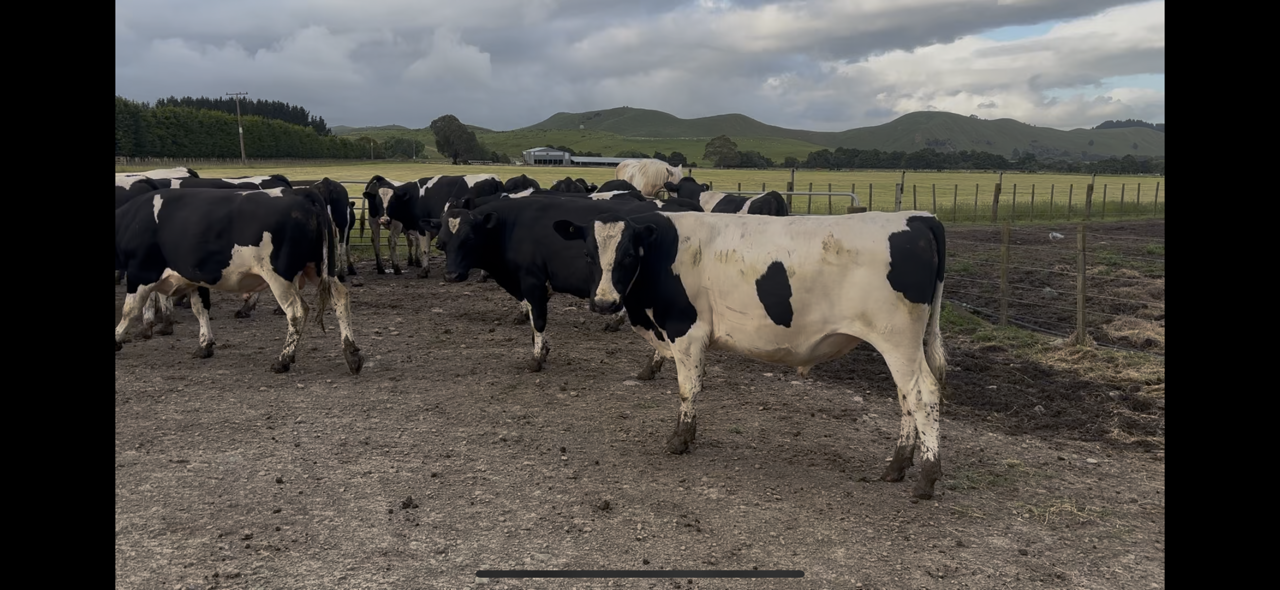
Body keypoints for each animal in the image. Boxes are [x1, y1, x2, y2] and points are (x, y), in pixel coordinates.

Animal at [114, 187, 364, 375]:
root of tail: (300, 193)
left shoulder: (141, 272)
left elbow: (130, 310)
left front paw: (117, 339)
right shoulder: (195, 278)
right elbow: (200, 308)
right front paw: (205, 344)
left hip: (280, 277)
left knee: (297, 311)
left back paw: (283, 359)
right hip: (320, 268)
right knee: (340, 297)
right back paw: (351, 353)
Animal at [436, 194, 705, 371]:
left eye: (470, 237)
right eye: (441, 242)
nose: (451, 275)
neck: (512, 226)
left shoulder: (533, 281)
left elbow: (539, 321)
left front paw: (537, 358)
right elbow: (534, 321)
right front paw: (542, 349)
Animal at [553, 209, 947, 499]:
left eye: (627, 255)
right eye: (589, 254)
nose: (604, 303)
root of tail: (918, 217)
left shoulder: (686, 332)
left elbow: (687, 388)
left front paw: (680, 439)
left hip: (897, 340)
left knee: (922, 393)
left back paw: (926, 477)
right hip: (903, 346)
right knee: (906, 398)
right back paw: (897, 466)